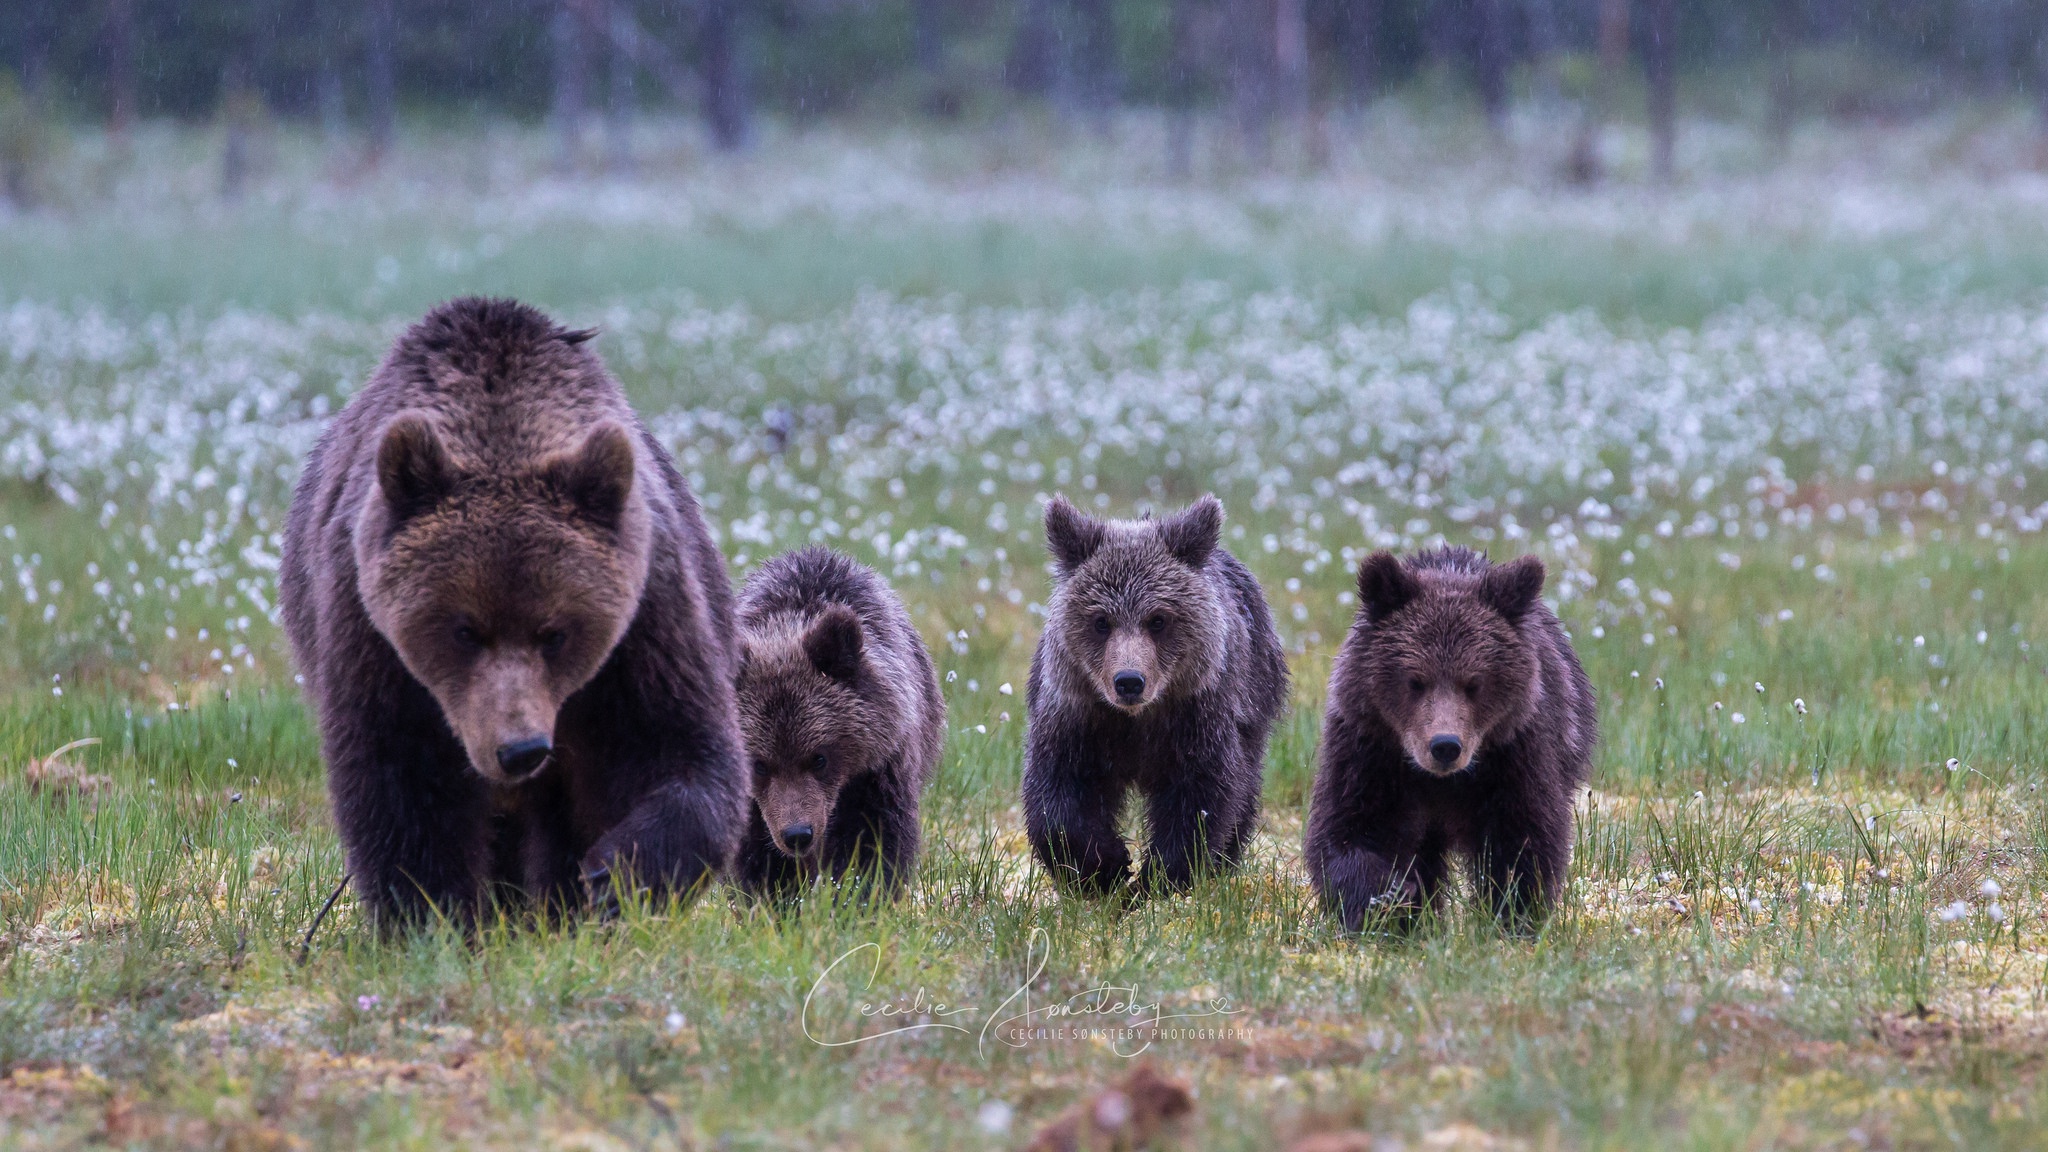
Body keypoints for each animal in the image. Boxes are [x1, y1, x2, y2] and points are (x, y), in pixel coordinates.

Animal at [276, 293, 745, 922]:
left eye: (556, 632)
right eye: (464, 629)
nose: (520, 750)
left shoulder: (648, 619)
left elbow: (681, 748)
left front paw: (616, 873)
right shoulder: (370, 636)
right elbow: (401, 787)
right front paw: (431, 916)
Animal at [729, 545, 942, 897]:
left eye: (819, 758)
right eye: (759, 764)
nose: (798, 835)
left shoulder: (877, 769)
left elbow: (872, 838)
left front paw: (861, 894)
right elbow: (755, 850)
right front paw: (773, 895)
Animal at [1032, 494, 1286, 897]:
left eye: (1158, 619)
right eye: (1101, 620)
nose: (1129, 681)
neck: (1138, 719)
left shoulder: (1197, 716)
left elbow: (1200, 796)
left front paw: (1160, 877)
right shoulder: (1078, 714)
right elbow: (1057, 792)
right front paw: (1104, 866)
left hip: (1255, 692)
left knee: (1245, 785)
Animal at [1310, 545, 1597, 934]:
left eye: (1474, 683)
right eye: (1415, 680)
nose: (1445, 745)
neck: (1439, 782)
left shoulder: (1515, 752)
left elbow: (1523, 838)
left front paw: (1512, 916)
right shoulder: (1369, 749)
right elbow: (1349, 828)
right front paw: (1388, 898)